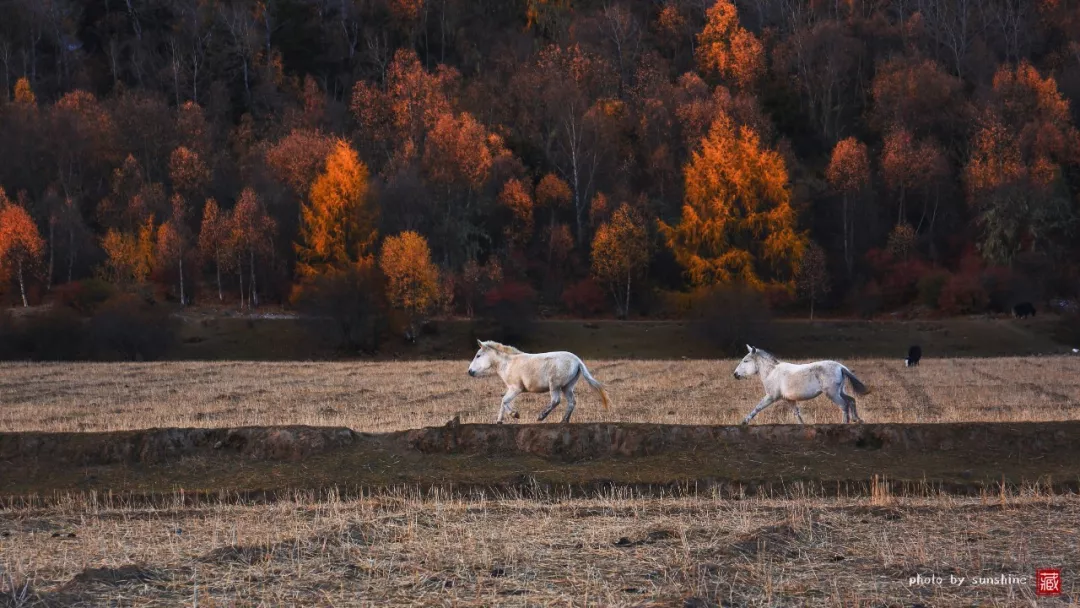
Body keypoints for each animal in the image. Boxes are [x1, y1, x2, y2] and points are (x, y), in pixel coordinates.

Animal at [468, 343, 613, 423]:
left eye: (478, 355)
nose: (470, 372)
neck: (508, 363)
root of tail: (577, 360)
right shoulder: (511, 389)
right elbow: (504, 402)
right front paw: (500, 421)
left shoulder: (516, 388)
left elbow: (504, 401)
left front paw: (515, 415)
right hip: (567, 387)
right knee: (572, 402)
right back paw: (563, 421)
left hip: (555, 385)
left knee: (556, 401)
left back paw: (541, 416)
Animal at [730, 345, 872, 425]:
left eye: (745, 361)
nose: (735, 374)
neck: (772, 373)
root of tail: (841, 367)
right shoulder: (789, 400)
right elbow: (797, 414)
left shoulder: (771, 397)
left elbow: (757, 408)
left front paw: (744, 422)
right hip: (840, 391)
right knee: (851, 400)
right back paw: (857, 420)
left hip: (832, 394)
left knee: (844, 405)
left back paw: (845, 424)